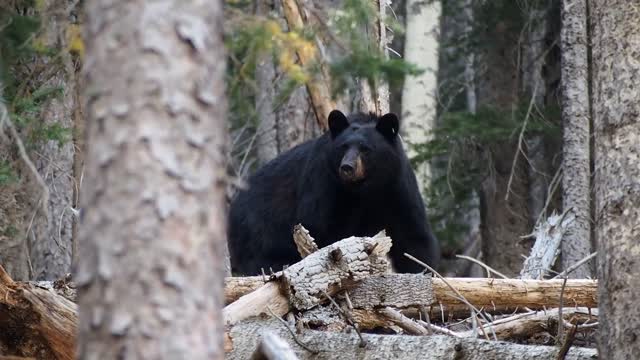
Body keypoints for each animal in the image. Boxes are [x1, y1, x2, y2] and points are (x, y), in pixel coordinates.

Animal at [228, 109, 442, 272]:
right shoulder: (324, 182)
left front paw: (423, 271)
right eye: (343, 147)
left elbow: (412, 236)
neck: (365, 189)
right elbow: (322, 228)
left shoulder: (396, 187)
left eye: (365, 148)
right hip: (258, 230)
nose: (347, 167)